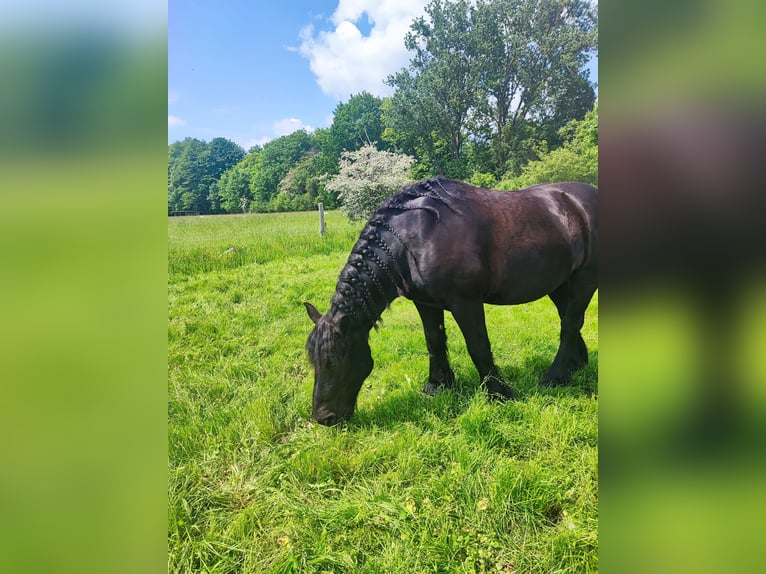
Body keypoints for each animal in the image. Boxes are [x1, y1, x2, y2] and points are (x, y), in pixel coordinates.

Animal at [306, 178, 600, 426]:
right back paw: (575, 364)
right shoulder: (425, 304)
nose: (324, 418)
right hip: (560, 284)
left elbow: (478, 346)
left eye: (334, 360)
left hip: (585, 280)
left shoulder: (466, 303)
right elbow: (434, 341)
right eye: (313, 360)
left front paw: (497, 392)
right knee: (569, 321)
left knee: (569, 324)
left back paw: (555, 377)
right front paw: (438, 385)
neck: (416, 238)